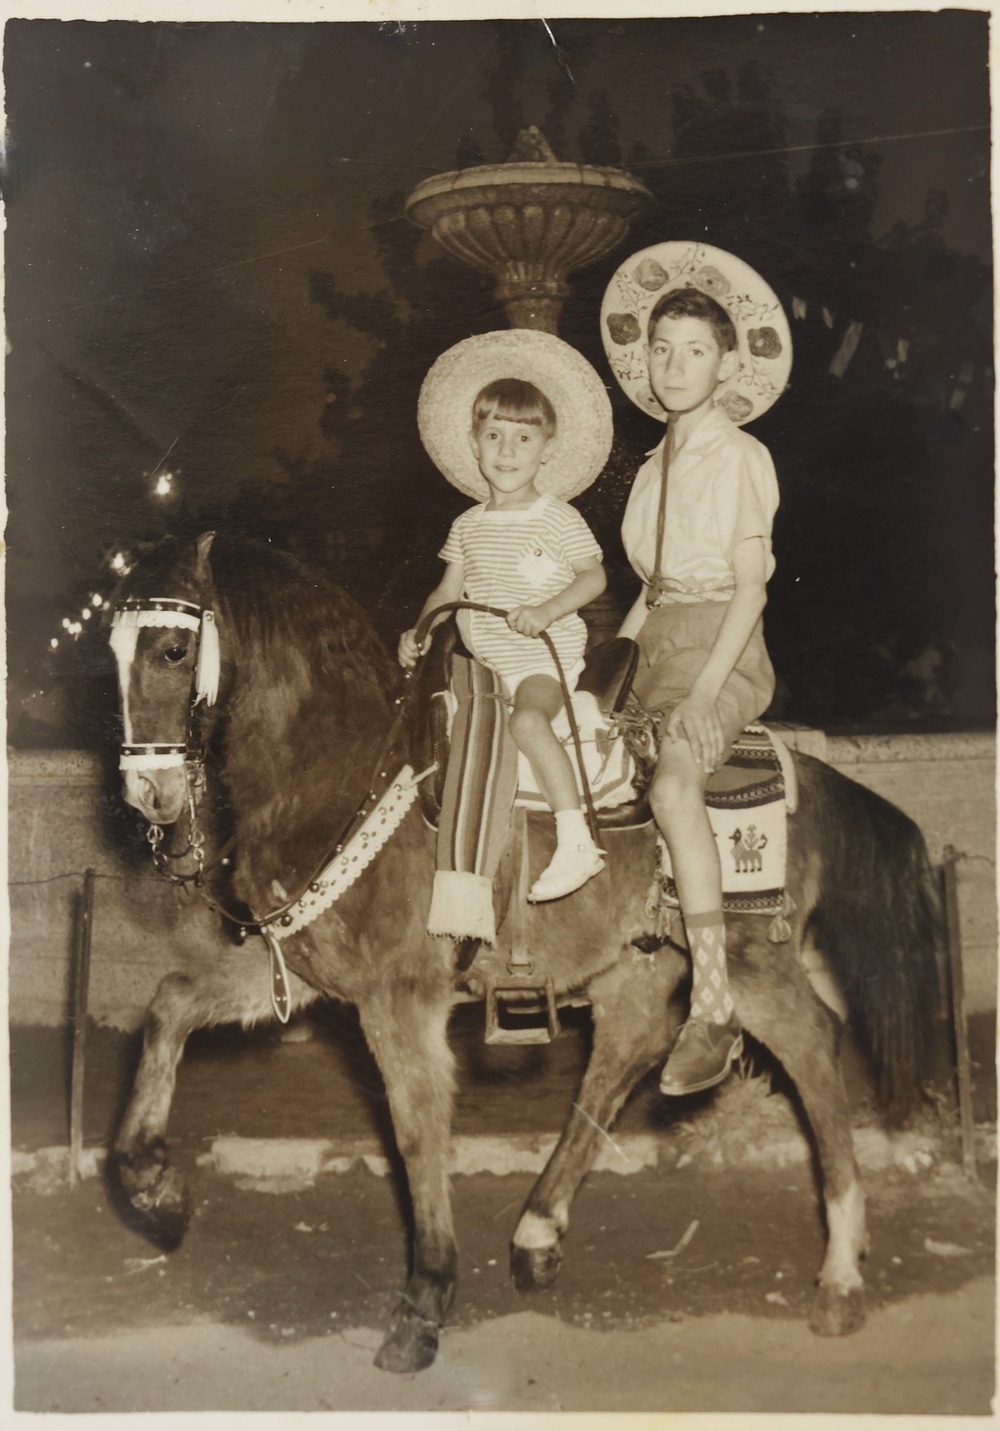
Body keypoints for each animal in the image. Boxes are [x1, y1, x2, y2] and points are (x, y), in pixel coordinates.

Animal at [109, 529, 944, 1373]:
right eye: (111, 649)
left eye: (175, 648)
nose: (148, 795)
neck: (346, 771)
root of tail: (809, 773)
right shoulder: (304, 968)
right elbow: (171, 1004)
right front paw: (154, 1188)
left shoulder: (399, 996)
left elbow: (417, 1127)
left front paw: (426, 1297)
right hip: (635, 960)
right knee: (625, 1051)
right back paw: (538, 1230)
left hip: (746, 959)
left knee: (809, 1044)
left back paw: (839, 1274)